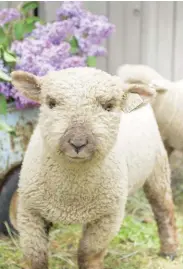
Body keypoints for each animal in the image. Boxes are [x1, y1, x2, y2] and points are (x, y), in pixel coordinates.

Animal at [11, 66, 177, 268]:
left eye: (108, 106)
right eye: (51, 103)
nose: (77, 143)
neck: (71, 192)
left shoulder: (108, 217)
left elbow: (88, 254)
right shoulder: (29, 213)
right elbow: (36, 257)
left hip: (158, 168)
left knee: (164, 209)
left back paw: (169, 251)